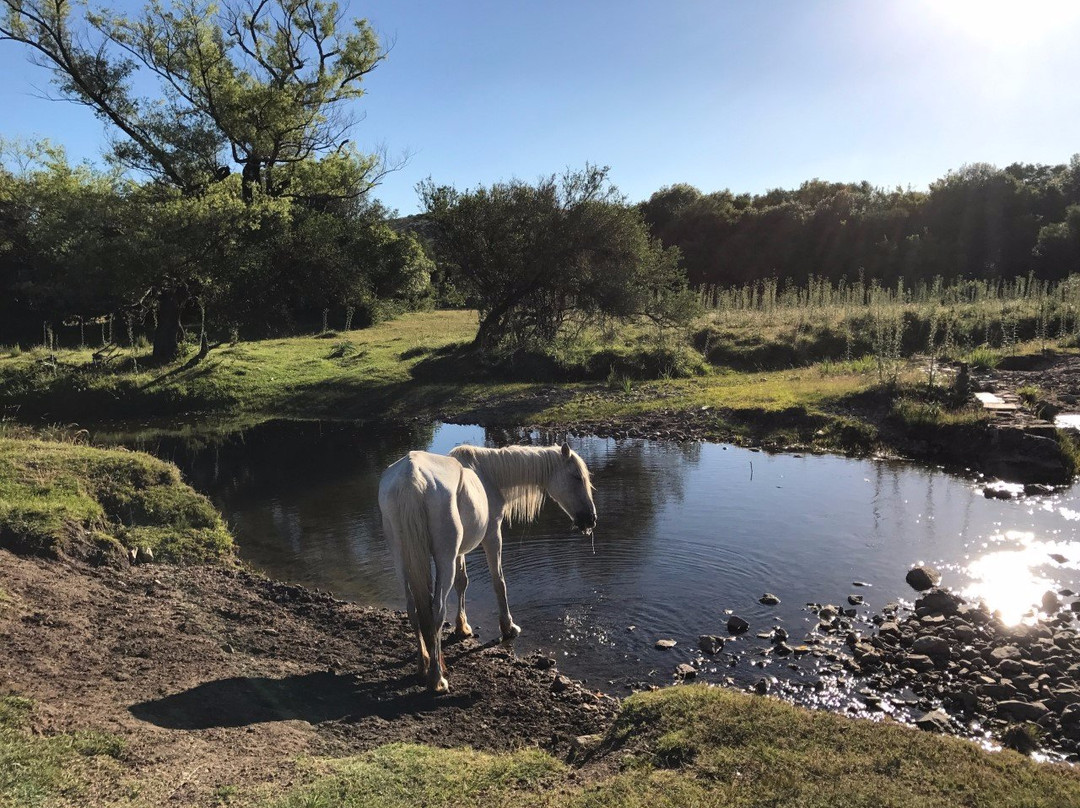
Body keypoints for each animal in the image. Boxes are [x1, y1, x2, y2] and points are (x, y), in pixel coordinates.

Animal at [378, 442, 600, 695]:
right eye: (576, 477)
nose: (590, 519)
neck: (487, 474)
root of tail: (411, 477)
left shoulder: (460, 552)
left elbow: (462, 583)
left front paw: (462, 627)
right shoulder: (493, 536)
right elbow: (499, 582)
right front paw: (508, 626)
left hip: (403, 559)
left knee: (413, 610)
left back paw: (423, 666)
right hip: (443, 559)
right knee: (436, 612)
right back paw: (437, 679)